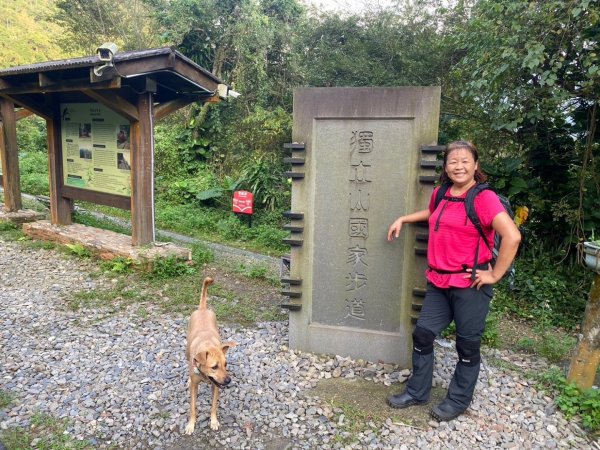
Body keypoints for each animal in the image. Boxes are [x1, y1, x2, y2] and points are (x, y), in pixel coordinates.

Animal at [184, 276, 236, 434]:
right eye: (214, 366)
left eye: (226, 364)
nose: (228, 380)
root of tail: (203, 308)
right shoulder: (195, 386)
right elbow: (193, 407)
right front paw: (191, 424)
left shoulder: (216, 385)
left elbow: (213, 405)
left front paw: (213, 421)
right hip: (187, 351)